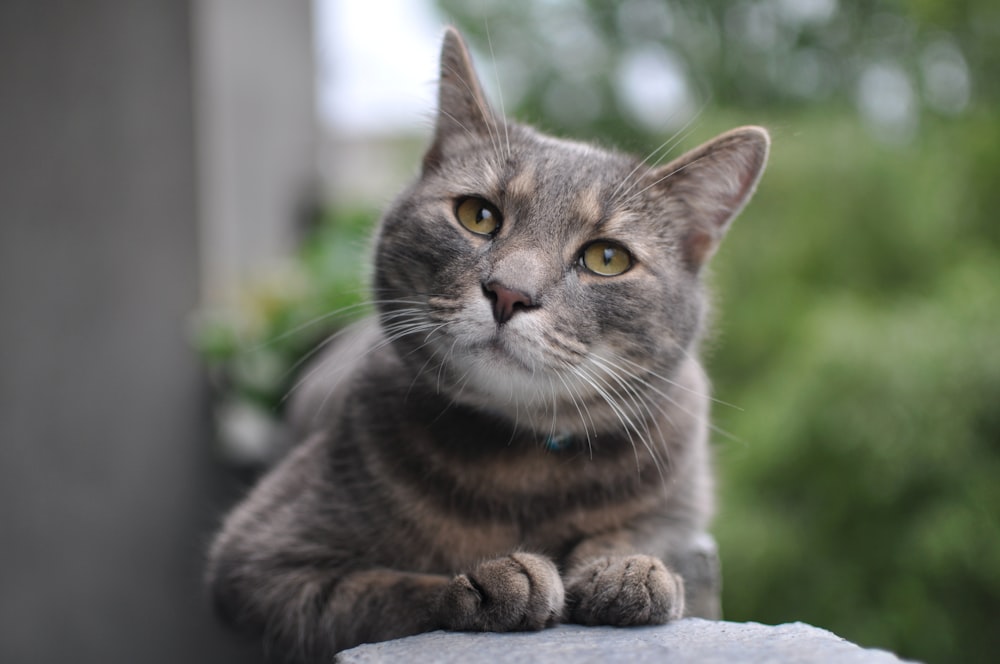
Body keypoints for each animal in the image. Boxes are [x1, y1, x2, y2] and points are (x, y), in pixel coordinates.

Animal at [207, 24, 768, 660]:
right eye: (478, 215)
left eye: (607, 258)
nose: (508, 293)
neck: (521, 467)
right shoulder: (256, 558)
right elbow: (379, 590)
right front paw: (492, 581)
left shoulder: (681, 495)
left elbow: (635, 527)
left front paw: (628, 569)